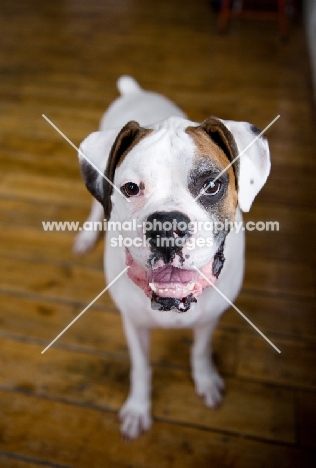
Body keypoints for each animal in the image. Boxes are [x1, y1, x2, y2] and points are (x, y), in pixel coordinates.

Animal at [73, 76, 270, 438]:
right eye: (131, 188)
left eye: (211, 186)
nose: (167, 225)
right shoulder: (134, 324)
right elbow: (141, 367)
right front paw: (138, 408)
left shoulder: (209, 318)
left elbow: (201, 351)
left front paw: (206, 381)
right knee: (96, 206)